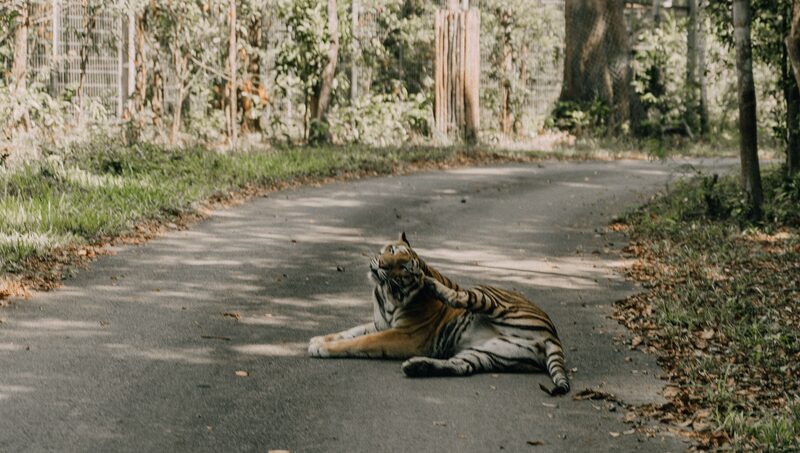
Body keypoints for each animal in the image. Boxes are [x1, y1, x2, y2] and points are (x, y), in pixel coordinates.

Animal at [308, 233, 570, 395]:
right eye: (391, 249)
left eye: (403, 267)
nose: (380, 264)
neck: (385, 292)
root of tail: (553, 336)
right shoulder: (381, 323)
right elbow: (349, 331)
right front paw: (318, 340)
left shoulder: (404, 335)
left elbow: (361, 341)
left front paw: (322, 348)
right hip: (488, 353)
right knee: (461, 367)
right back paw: (417, 367)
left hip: (489, 297)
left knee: (464, 297)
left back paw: (432, 285)